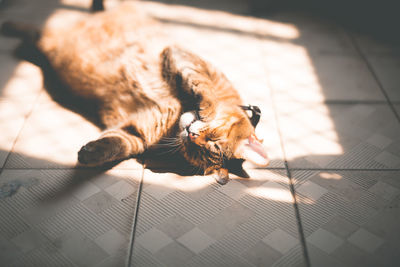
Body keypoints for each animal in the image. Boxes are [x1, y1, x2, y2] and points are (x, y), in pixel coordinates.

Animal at [1, 0, 268, 184]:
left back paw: (11, 28)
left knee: (33, 34)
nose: (191, 136)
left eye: (197, 151)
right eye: (214, 143)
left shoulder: (136, 132)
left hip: (45, 45)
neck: (176, 118)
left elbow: (117, 144)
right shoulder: (184, 58)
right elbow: (204, 91)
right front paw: (206, 108)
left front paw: (90, 154)